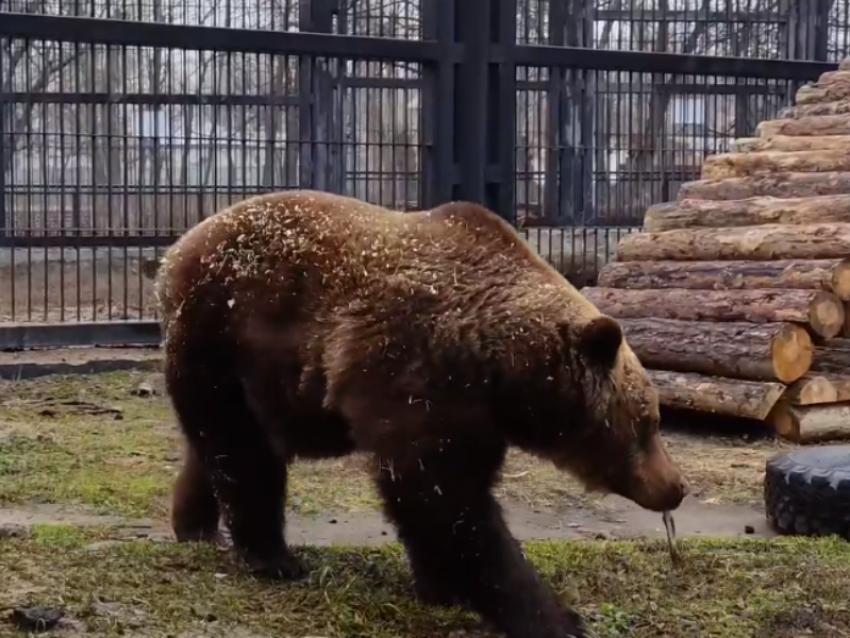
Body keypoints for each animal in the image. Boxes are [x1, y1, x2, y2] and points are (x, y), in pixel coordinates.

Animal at [156, 190, 688, 638]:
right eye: (650, 422)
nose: (676, 486)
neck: (501, 366)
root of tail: (175, 250)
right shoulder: (418, 377)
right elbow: (445, 501)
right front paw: (553, 616)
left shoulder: (476, 417)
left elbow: (442, 500)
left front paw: (440, 584)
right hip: (221, 332)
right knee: (240, 448)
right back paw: (271, 557)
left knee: (223, 443)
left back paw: (195, 524)